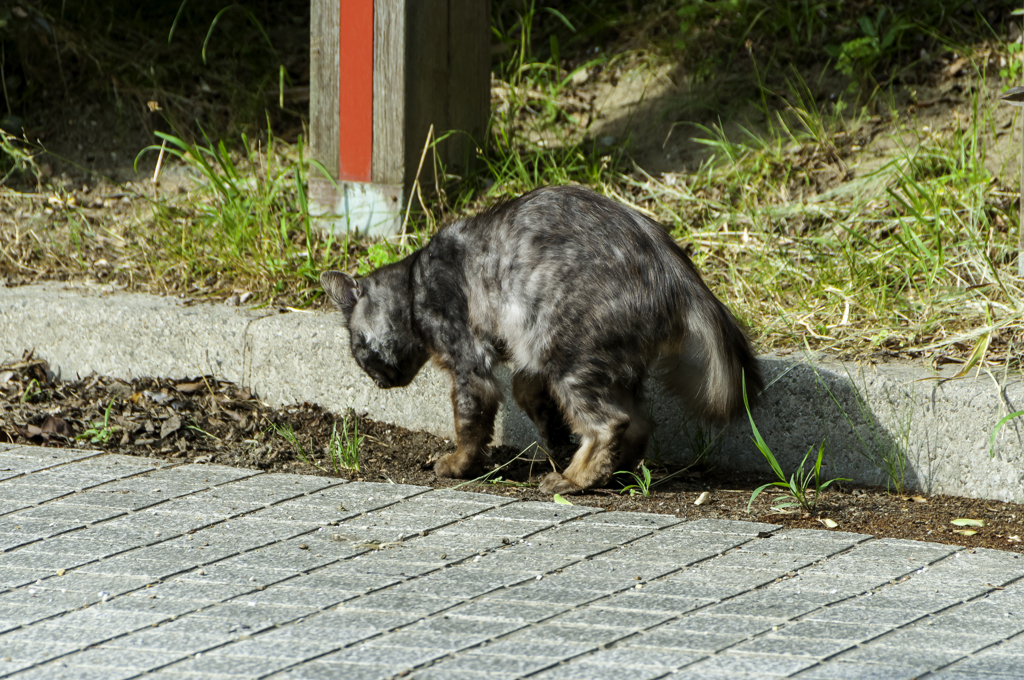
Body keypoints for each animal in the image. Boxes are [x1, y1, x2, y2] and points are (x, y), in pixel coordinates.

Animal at [319, 186, 761, 493]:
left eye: (358, 349)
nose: (377, 381)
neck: (414, 284)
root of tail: (673, 267)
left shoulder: (470, 359)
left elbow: (469, 422)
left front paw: (459, 465)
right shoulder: (525, 353)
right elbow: (528, 393)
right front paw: (555, 439)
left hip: (566, 351)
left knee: (610, 422)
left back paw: (576, 479)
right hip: (601, 359)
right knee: (637, 421)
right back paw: (611, 472)